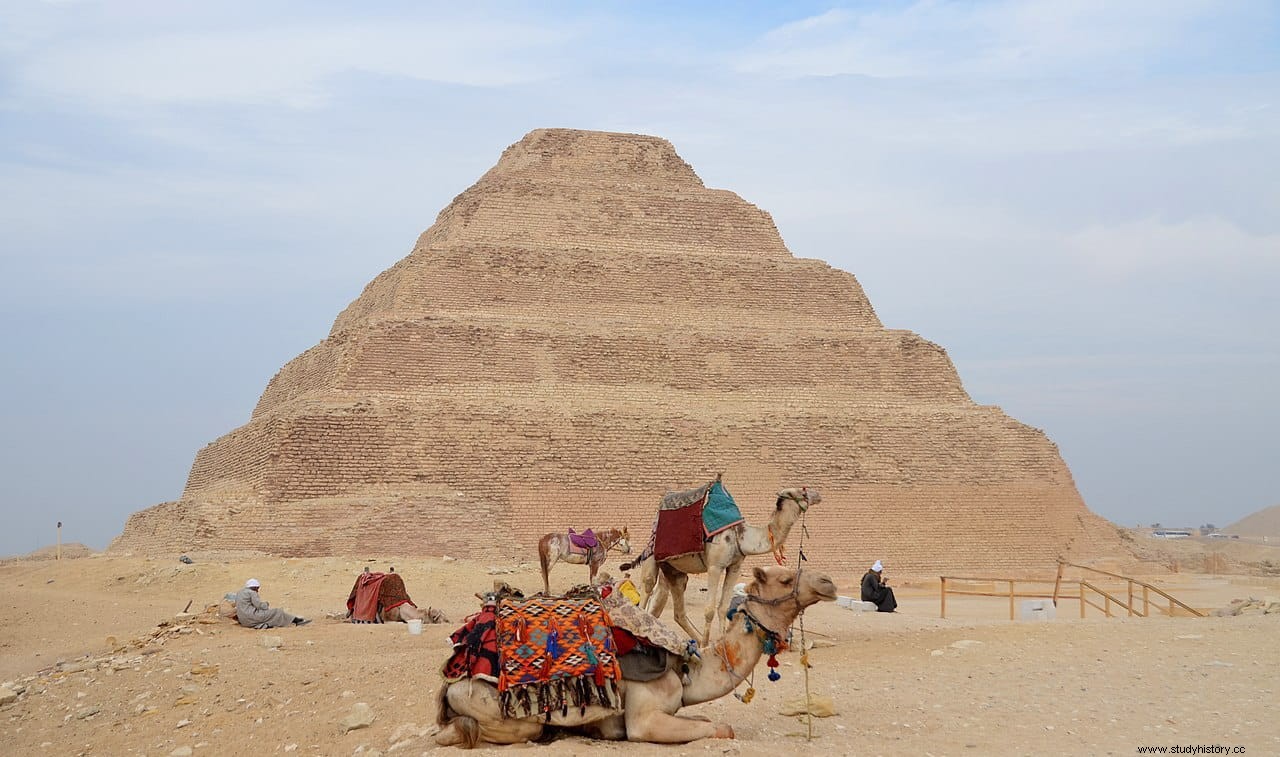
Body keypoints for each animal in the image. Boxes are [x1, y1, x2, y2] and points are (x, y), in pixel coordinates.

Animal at [432, 566, 839, 748]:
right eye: (783, 578)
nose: (828, 582)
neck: (685, 667)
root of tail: (449, 681)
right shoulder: (644, 717)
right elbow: (721, 727)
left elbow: (705, 718)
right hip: (495, 707)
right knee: (468, 731)